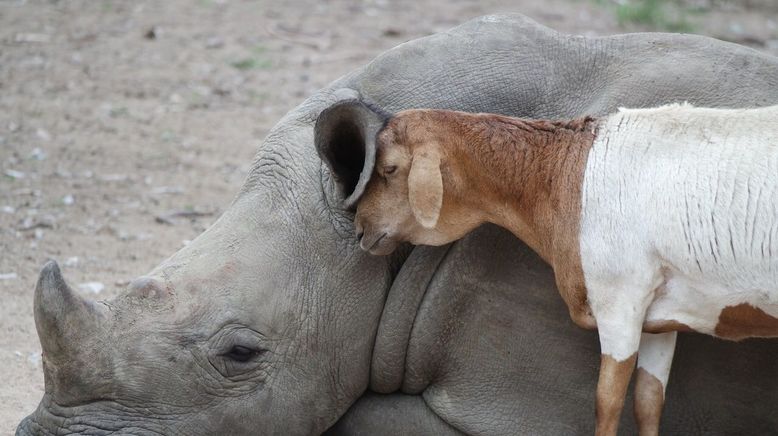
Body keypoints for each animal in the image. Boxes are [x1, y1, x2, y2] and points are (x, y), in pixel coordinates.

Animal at [352, 104, 776, 436]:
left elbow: (606, 405)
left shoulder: (619, 304)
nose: (359, 228)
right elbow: (648, 403)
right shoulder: (661, 318)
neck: (563, 174)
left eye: (389, 169)